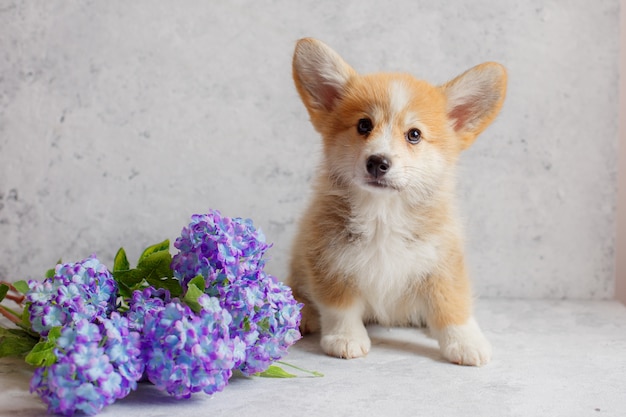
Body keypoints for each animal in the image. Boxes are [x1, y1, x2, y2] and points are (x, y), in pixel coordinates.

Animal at [286, 38, 504, 364]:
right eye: (364, 125)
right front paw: (345, 339)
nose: (378, 162)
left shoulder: (442, 262)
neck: (384, 213)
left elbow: (452, 305)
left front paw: (466, 342)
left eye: (414, 134)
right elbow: (340, 307)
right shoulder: (329, 260)